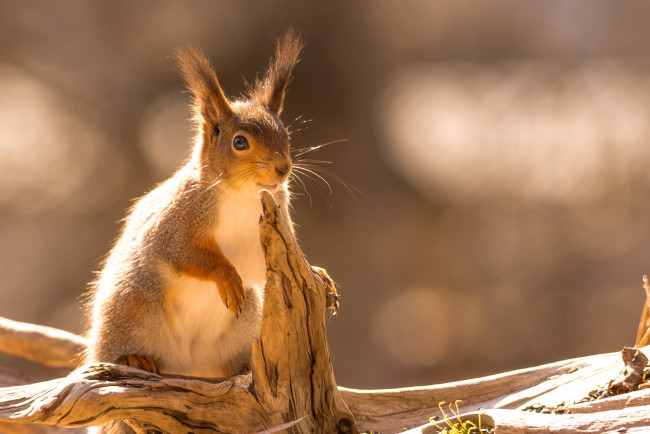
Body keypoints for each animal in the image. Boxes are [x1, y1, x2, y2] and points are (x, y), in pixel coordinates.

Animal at [85, 28, 336, 400]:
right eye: (240, 142)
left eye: (286, 135)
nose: (283, 169)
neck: (242, 196)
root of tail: (189, 366)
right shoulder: (176, 221)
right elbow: (184, 254)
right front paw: (226, 276)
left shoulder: (268, 236)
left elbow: (263, 269)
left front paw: (321, 275)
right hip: (133, 306)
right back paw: (134, 358)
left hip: (246, 323)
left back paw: (244, 366)